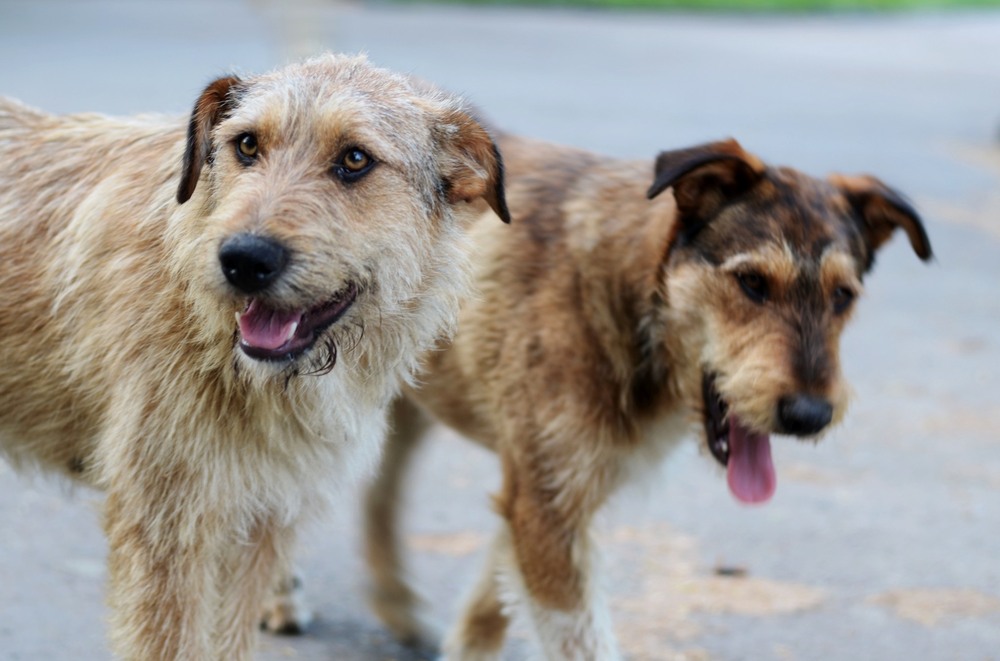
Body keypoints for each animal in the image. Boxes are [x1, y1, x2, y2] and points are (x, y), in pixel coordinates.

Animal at [358, 133, 928, 656]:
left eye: (843, 296)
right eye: (751, 281)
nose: (809, 415)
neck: (628, 293)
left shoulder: (543, 502)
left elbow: (486, 611)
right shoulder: (546, 509)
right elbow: (578, 640)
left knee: (379, 493)